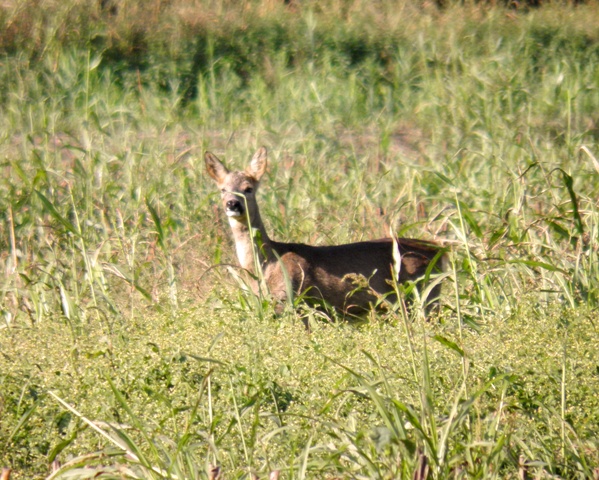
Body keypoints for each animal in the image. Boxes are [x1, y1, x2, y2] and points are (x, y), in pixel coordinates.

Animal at [206, 146, 446, 318]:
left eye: (248, 188)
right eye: (222, 189)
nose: (232, 204)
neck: (265, 264)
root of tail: (440, 249)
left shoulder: (291, 301)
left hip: (423, 296)